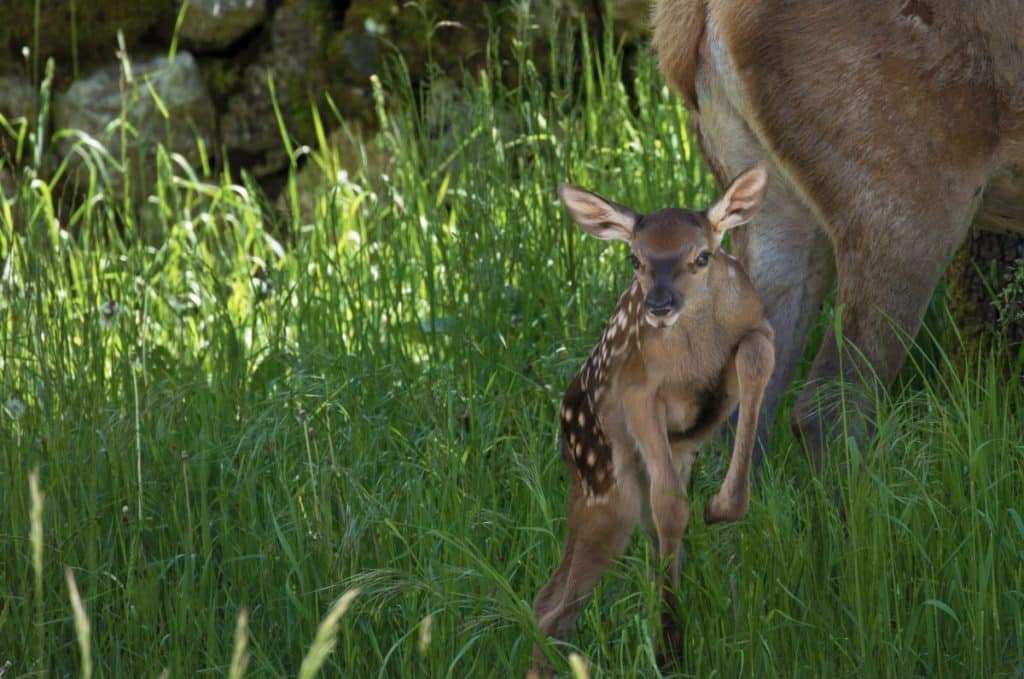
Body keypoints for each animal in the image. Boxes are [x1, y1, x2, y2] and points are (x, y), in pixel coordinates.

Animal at [536, 166, 774, 671]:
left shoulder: (759, 327)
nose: (659, 307)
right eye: (634, 259)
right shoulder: (637, 389)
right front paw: (670, 643)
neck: (692, 357)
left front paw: (720, 506)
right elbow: (672, 509)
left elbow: (755, 357)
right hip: (605, 488)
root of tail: (564, 436)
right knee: (552, 603)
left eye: (702, 256)